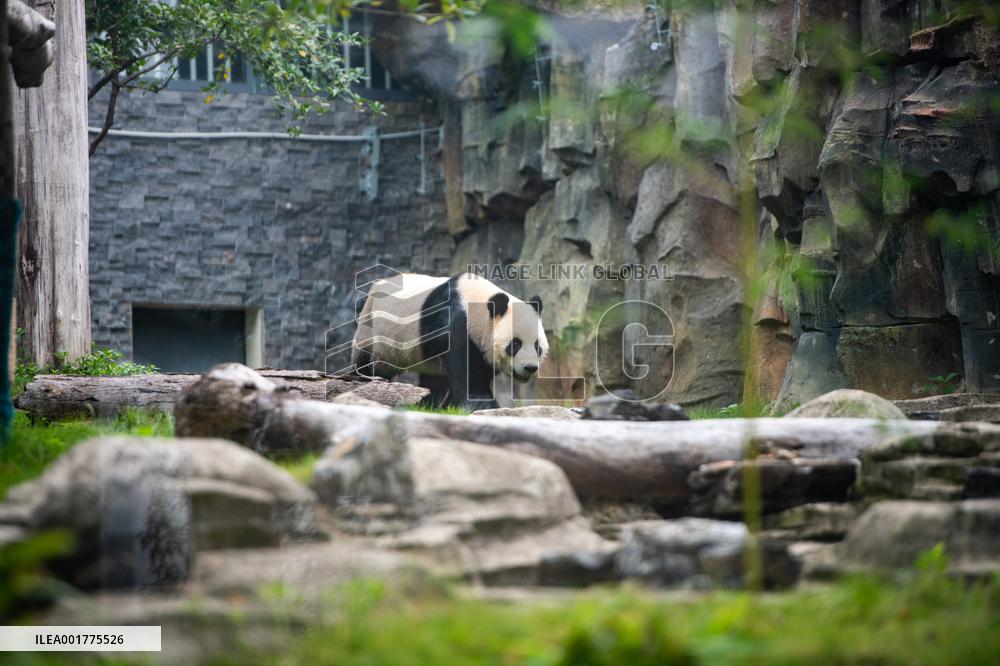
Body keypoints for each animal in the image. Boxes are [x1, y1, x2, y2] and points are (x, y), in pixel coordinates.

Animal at [352, 272, 548, 409]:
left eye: (537, 346)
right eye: (515, 344)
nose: (530, 367)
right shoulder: (457, 324)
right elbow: (466, 371)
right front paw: (482, 403)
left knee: (433, 379)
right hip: (372, 328)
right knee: (369, 361)